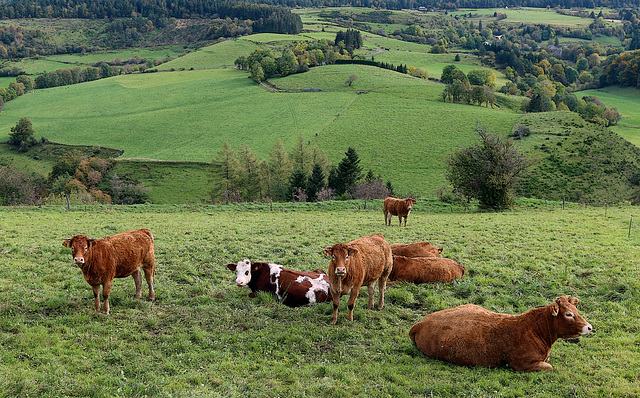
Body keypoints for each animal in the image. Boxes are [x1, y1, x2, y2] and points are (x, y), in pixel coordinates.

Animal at [412, 294, 592, 372]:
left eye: (576, 309)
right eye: (568, 314)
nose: (589, 327)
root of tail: (421, 322)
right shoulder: (522, 364)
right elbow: (549, 367)